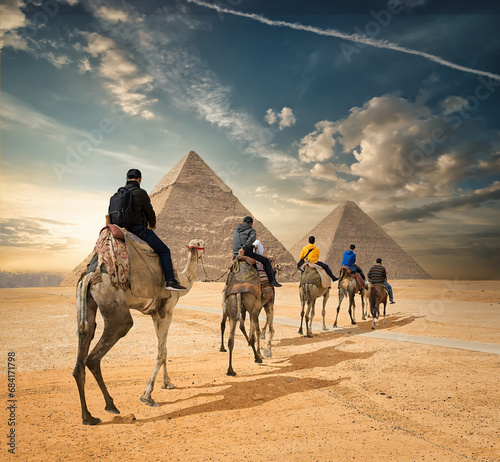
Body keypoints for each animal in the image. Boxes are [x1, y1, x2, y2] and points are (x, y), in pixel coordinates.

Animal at [73, 238, 205, 426]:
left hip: (85, 300)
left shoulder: (155, 314)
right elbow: (161, 354)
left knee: (85, 335)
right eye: (201, 244)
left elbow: (164, 350)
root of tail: (91, 276)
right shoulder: (167, 311)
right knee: (96, 354)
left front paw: (167, 383)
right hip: (114, 306)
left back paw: (88, 416)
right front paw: (147, 396)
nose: (202, 253)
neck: (182, 281)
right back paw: (110, 405)